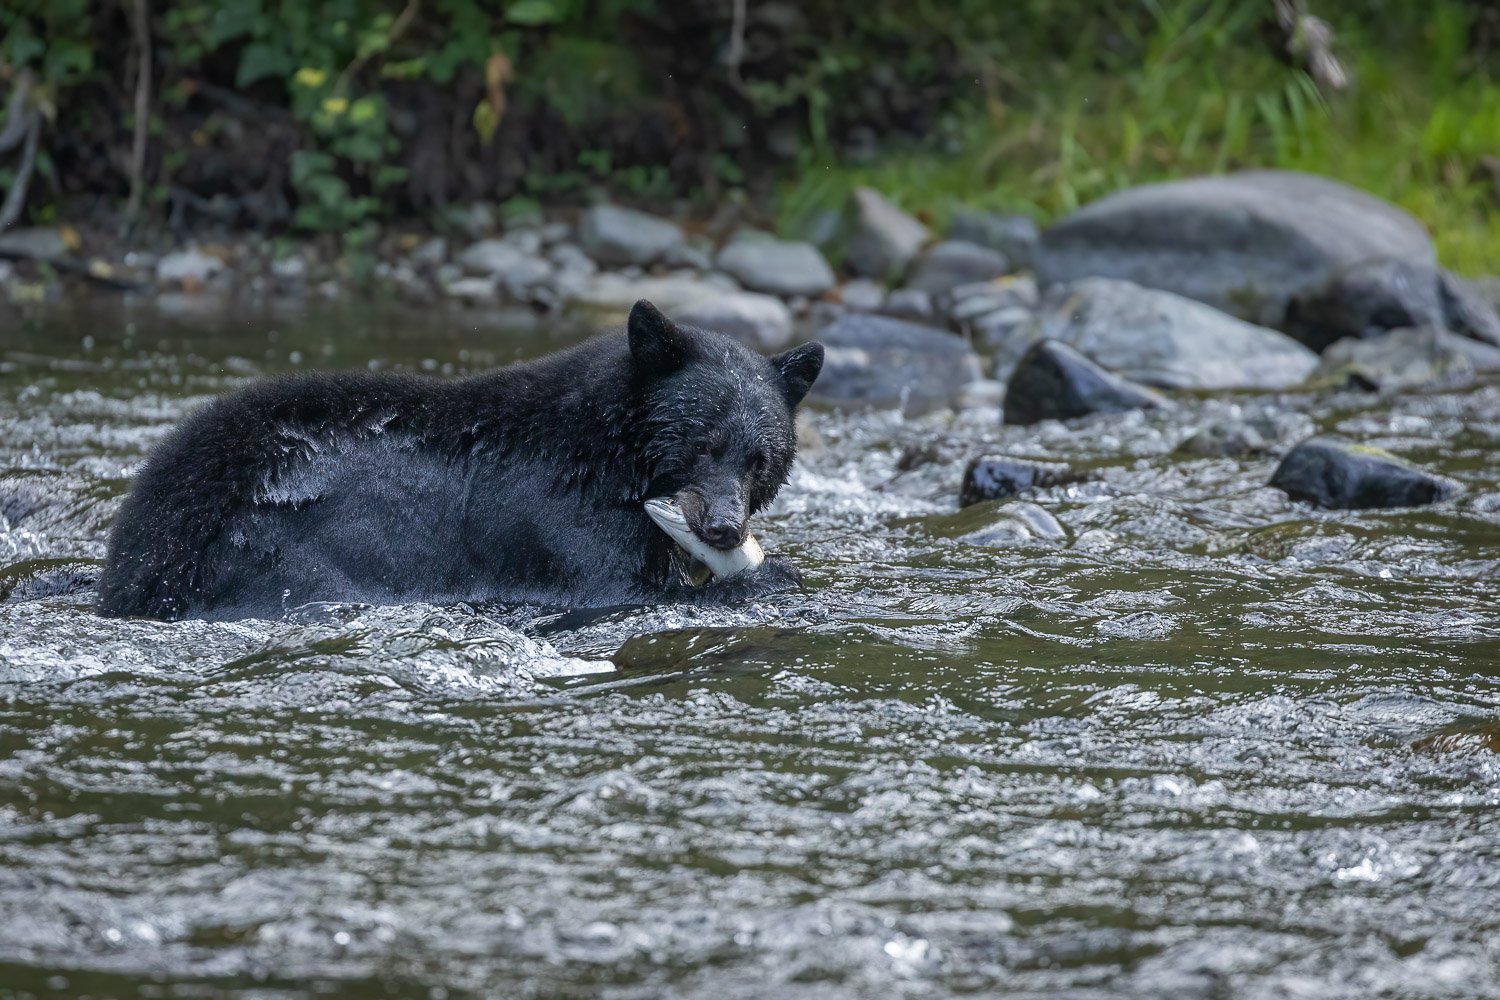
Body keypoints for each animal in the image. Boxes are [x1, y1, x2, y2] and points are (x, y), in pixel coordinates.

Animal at [97, 300, 824, 621]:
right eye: (701, 441)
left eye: (760, 459)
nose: (723, 528)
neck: (610, 455)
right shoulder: (558, 517)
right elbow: (612, 589)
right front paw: (768, 578)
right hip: (282, 555)